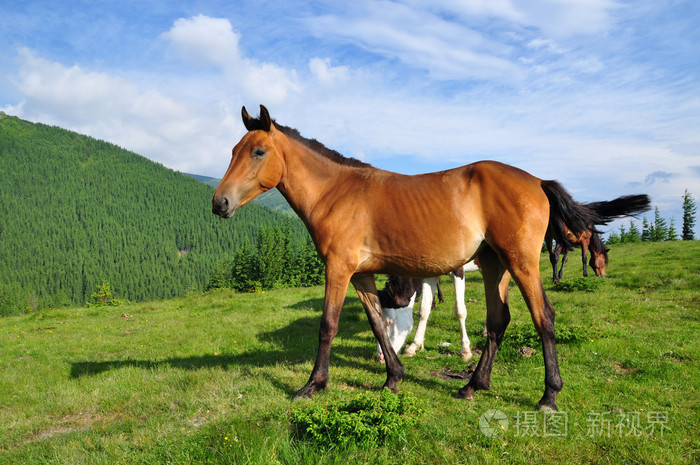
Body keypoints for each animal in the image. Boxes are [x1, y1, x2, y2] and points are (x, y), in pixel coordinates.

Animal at [212, 106, 652, 410]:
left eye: (258, 151)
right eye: (233, 150)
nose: (220, 203)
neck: (337, 193)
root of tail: (537, 181)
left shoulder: (338, 269)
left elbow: (328, 325)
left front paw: (312, 385)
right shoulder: (361, 275)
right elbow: (377, 323)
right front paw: (393, 376)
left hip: (521, 263)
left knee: (543, 316)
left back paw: (548, 395)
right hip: (495, 266)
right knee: (498, 322)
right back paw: (473, 385)